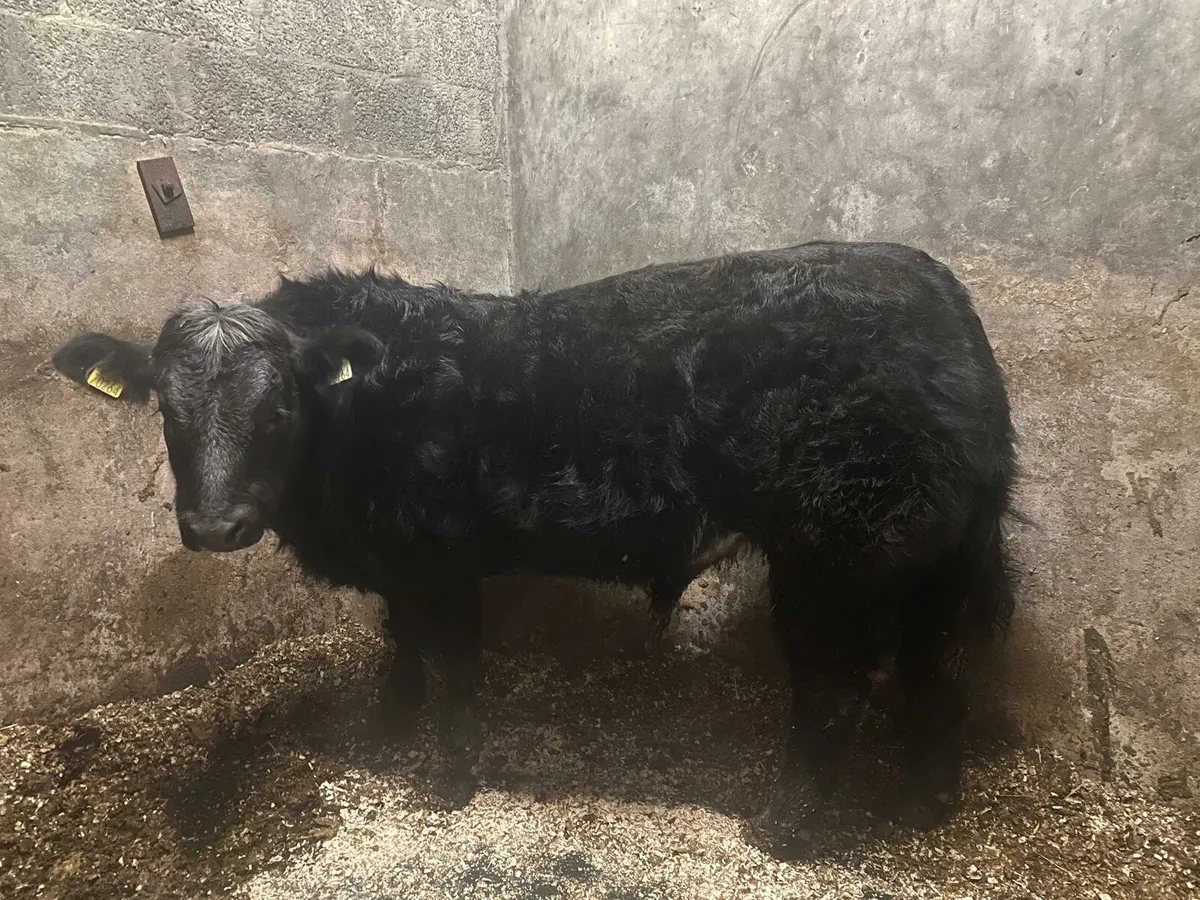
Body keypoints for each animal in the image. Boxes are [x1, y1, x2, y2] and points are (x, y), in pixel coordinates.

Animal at [52, 241, 1017, 851]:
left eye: (279, 407)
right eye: (168, 411)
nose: (214, 526)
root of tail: (936, 285)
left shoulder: (440, 560)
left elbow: (451, 664)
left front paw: (450, 777)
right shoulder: (396, 564)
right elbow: (401, 649)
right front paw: (383, 732)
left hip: (834, 559)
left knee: (837, 690)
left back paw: (782, 826)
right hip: (936, 561)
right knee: (938, 673)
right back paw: (926, 803)